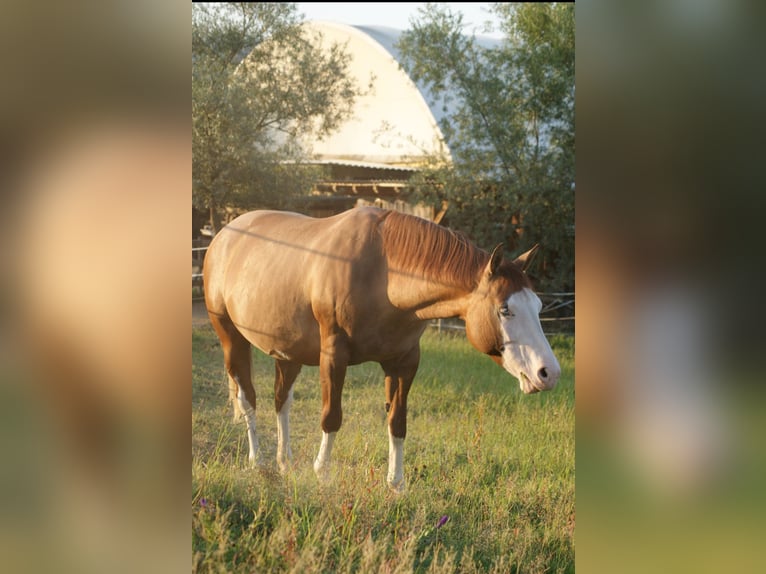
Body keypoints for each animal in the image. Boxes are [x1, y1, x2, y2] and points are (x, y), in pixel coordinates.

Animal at [203, 206, 561, 492]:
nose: (549, 373)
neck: (384, 273)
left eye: (538, 306)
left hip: (287, 352)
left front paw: (396, 483)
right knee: (248, 399)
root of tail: (223, 237)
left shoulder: (404, 362)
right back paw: (259, 462)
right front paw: (323, 473)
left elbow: (397, 422)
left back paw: (284, 460)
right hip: (231, 338)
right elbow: (331, 416)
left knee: (282, 401)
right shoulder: (333, 356)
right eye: (505, 309)